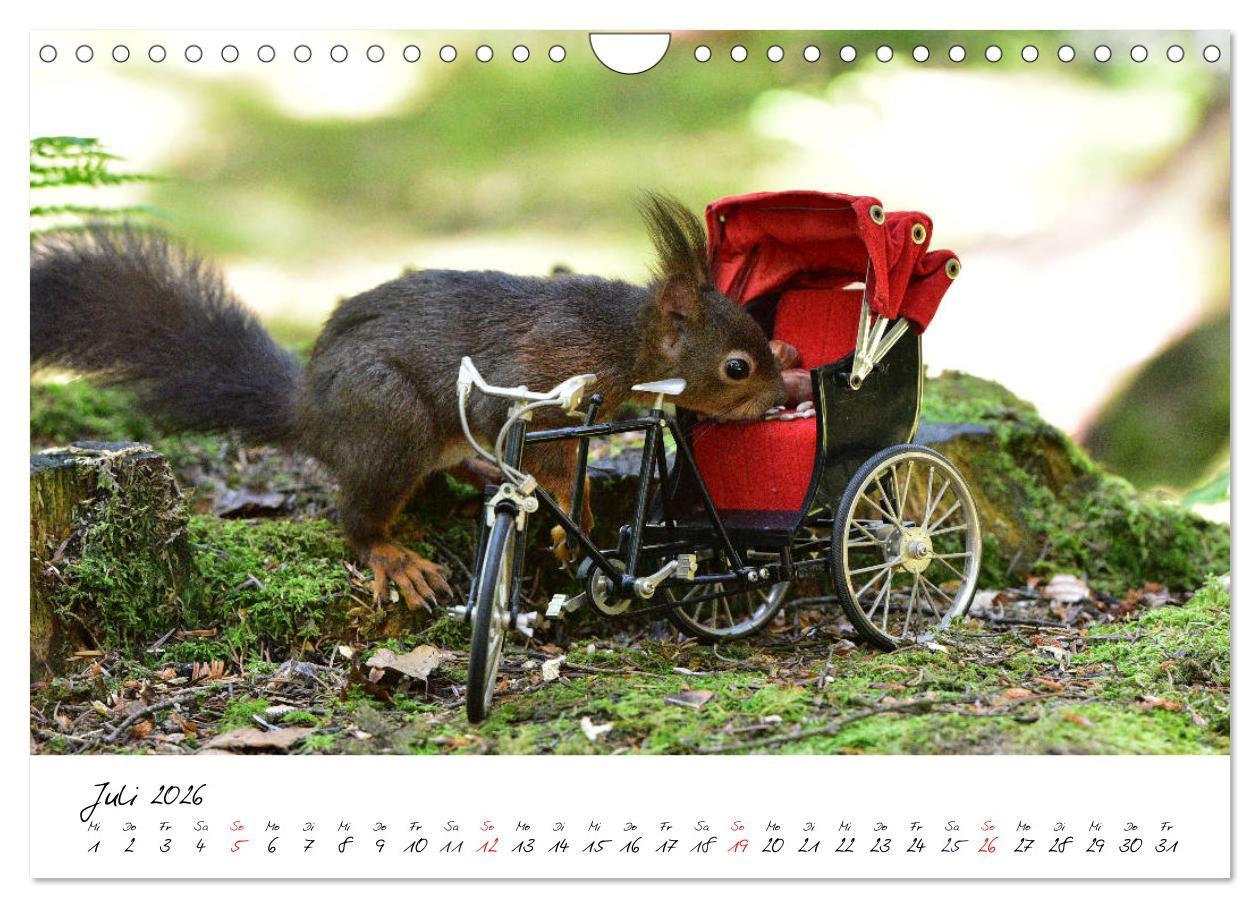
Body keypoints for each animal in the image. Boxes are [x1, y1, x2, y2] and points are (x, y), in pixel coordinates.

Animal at [31, 194, 787, 611]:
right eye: (737, 367)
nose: (782, 399)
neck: (623, 343)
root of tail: (311, 411)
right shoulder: (536, 375)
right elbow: (536, 449)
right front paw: (567, 510)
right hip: (390, 421)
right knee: (357, 518)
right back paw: (394, 556)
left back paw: (478, 475)